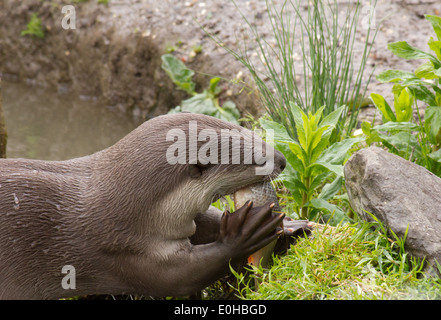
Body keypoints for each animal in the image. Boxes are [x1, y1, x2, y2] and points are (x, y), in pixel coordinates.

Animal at [0, 113, 308, 300]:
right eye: (257, 159)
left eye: (252, 134)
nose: (282, 161)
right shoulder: (122, 252)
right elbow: (182, 278)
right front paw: (245, 234)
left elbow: (205, 222)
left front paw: (289, 224)